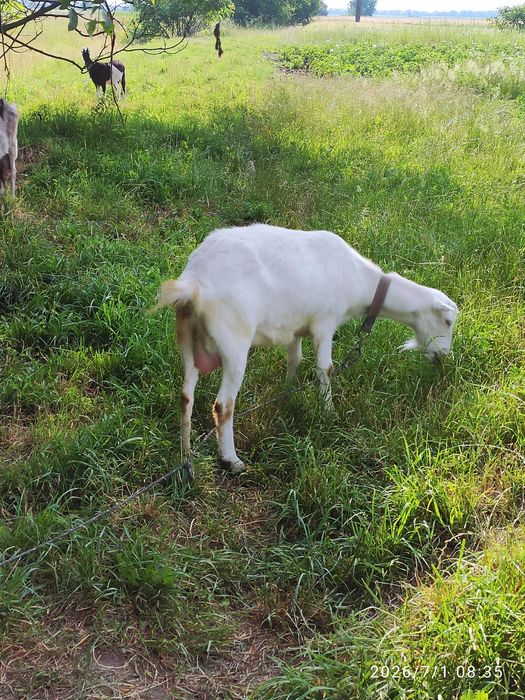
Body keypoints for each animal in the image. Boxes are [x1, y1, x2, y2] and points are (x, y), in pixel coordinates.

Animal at [151, 224, 458, 474]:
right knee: (223, 405)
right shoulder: (325, 322)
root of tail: (193, 284)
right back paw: (232, 460)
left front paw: (287, 394)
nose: (443, 357)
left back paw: (187, 458)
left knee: (186, 397)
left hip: (187, 340)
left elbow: (295, 359)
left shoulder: (296, 327)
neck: (359, 280)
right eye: (448, 321)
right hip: (234, 340)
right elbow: (326, 368)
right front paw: (329, 412)